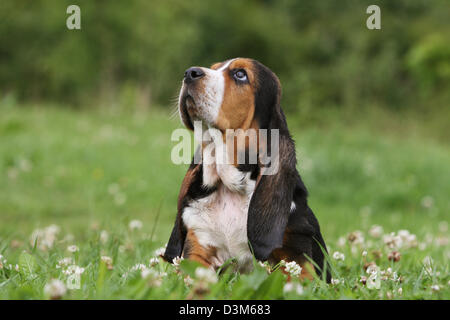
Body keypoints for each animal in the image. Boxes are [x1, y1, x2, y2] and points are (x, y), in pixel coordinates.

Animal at [163, 58, 330, 282]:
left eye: (240, 74)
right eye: (214, 68)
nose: (190, 73)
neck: (230, 188)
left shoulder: (298, 260)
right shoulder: (198, 248)